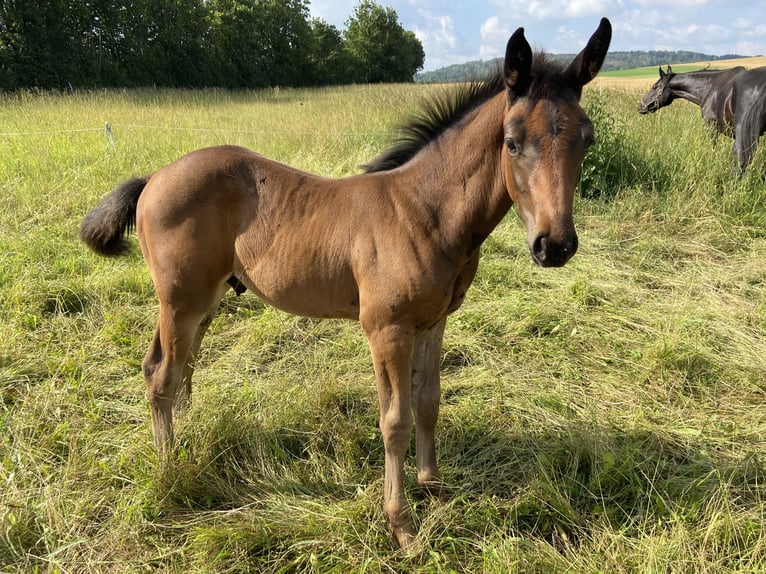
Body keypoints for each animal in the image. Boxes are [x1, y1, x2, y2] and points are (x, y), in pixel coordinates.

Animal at [80, 18, 612, 550]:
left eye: (586, 140)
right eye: (512, 141)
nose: (554, 245)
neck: (426, 212)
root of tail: (153, 178)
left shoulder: (433, 321)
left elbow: (428, 402)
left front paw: (435, 489)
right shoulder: (386, 330)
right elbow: (395, 420)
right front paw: (403, 525)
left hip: (203, 301)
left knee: (177, 366)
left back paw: (187, 435)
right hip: (180, 300)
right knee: (162, 376)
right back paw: (169, 469)